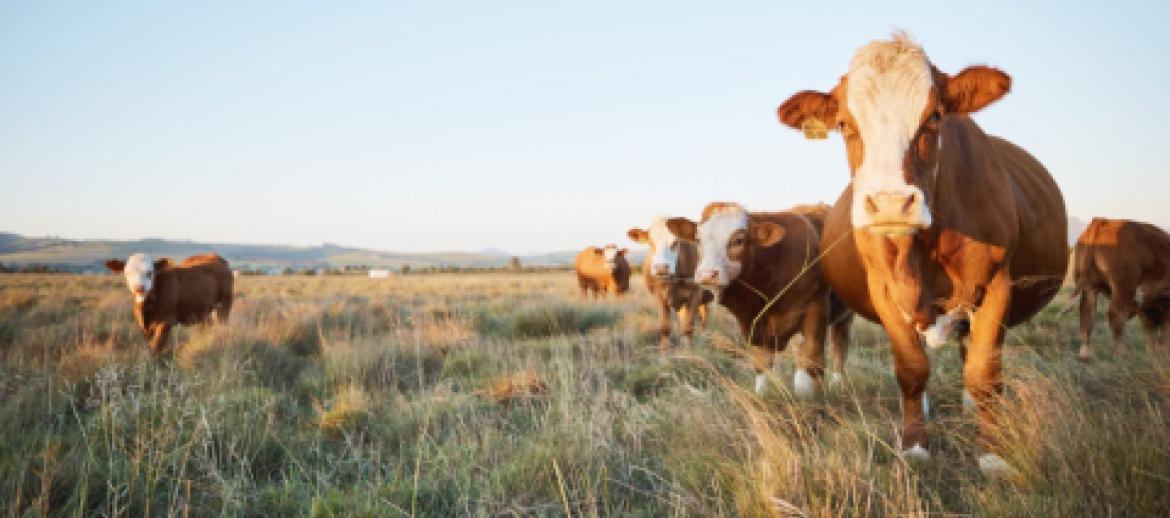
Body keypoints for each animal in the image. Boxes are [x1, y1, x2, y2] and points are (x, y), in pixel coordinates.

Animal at [105, 253, 234, 355]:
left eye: (149, 273)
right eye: (128, 273)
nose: (139, 288)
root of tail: (216, 256)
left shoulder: (166, 321)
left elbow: (156, 346)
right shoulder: (143, 325)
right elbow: (148, 344)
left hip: (224, 304)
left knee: (222, 324)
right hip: (204, 310)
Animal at [628, 217, 715, 351]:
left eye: (675, 242)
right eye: (651, 242)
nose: (661, 267)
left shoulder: (695, 293)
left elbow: (689, 326)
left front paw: (688, 352)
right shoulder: (659, 296)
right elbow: (665, 326)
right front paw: (664, 353)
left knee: (704, 316)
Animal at [666, 202, 853, 399]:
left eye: (739, 240)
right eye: (698, 240)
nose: (707, 275)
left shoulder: (815, 309)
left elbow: (810, 361)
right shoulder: (754, 324)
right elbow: (762, 364)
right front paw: (762, 394)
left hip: (844, 316)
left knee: (839, 346)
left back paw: (838, 383)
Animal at [776, 33, 1067, 476]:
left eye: (934, 117)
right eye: (844, 124)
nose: (891, 203)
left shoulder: (997, 284)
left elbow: (984, 373)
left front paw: (993, 454)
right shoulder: (885, 292)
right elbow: (911, 370)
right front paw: (914, 444)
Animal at [1074, 217, 1170, 360]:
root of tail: (1103, 222)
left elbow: (1152, 332)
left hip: (1090, 288)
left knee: (1086, 316)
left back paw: (1085, 354)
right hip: (1123, 288)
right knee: (1115, 316)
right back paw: (1122, 353)